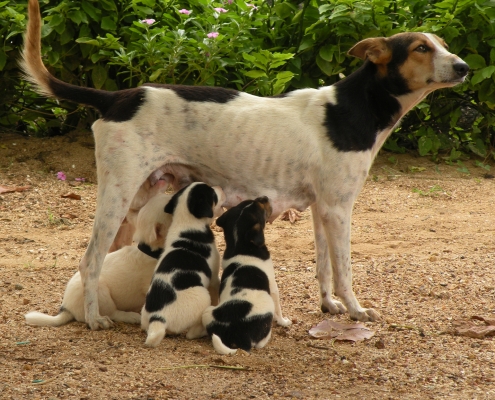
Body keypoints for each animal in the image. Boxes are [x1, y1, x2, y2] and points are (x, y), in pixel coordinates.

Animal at [140, 182, 225, 346]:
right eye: (213, 194)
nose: (221, 187)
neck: (186, 222)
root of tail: (158, 318)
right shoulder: (213, 279)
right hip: (201, 295)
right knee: (191, 334)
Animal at [203, 195, 292, 354]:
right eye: (261, 209)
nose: (264, 197)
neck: (240, 245)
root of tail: (236, 333)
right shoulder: (273, 287)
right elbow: (279, 309)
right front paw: (283, 322)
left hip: (208, 312)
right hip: (267, 304)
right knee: (258, 342)